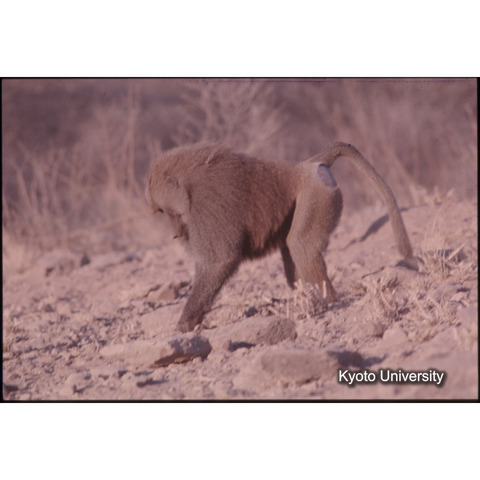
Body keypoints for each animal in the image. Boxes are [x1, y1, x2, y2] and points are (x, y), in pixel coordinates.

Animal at [146, 142, 417, 333]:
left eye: (167, 212)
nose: (176, 234)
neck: (189, 182)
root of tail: (305, 166)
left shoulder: (206, 207)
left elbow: (220, 261)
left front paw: (185, 323)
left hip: (317, 195)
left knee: (301, 246)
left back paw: (325, 302)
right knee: (291, 253)